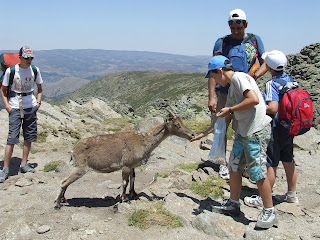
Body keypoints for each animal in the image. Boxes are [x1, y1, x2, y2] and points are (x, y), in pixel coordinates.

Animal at [54, 112, 194, 208]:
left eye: (182, 121)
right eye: (176, 124)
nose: (192, 134)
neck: (143, 141)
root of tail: (73, 150)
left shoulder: (132, 165)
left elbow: (133, 179)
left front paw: (133, 194)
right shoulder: (126, 165)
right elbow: (125, 182)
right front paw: (124, 198)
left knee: (66, 182)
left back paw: (62, 200)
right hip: (81, 167)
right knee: (64, 182)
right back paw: (57, 204)